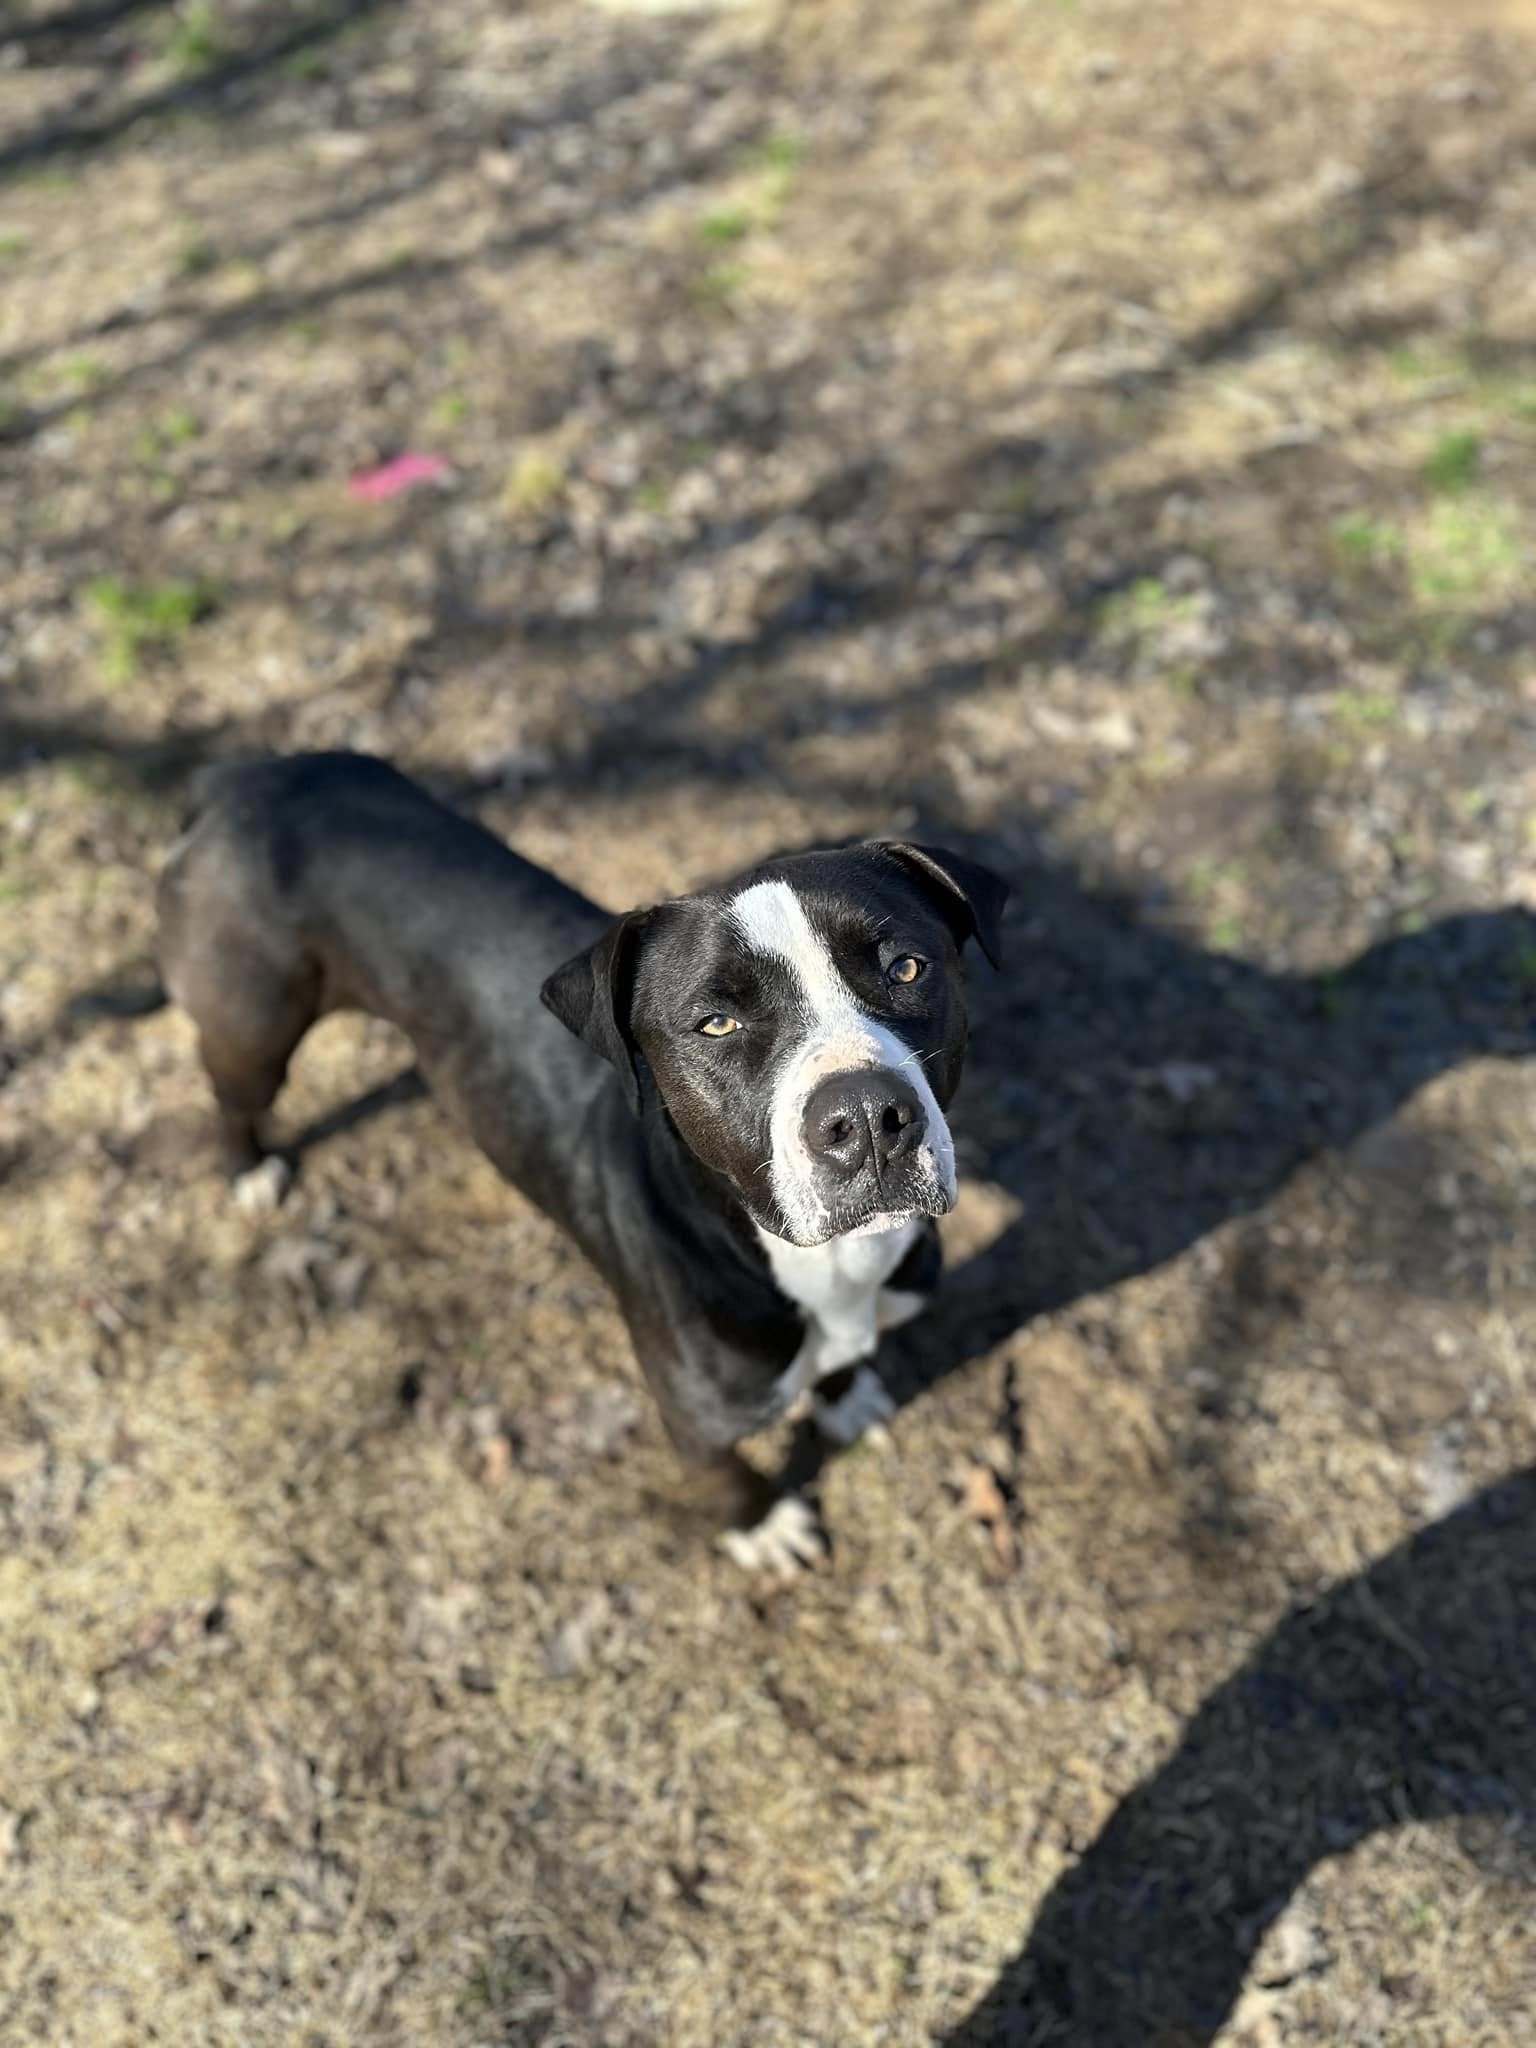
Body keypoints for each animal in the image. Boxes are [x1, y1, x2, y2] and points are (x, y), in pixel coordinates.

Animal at [159, 753, 1011, 1564]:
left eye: (906, 967)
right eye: (716, 1023)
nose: (866, 1116)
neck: (814, 1263)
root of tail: (239, 777)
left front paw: (844, 1396)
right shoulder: (695, 1414)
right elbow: (723, 1473)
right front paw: (761, 1525)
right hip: (253, 1022)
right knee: (231, 1091)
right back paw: (247, 1168)